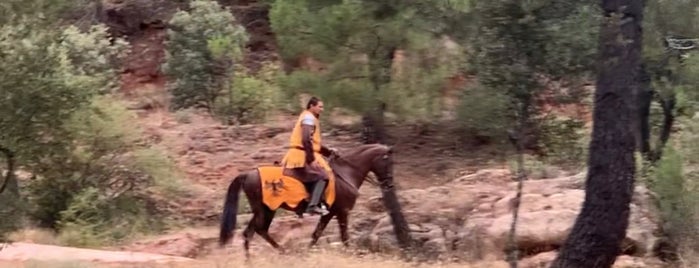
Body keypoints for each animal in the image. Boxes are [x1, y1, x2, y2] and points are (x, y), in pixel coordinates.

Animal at [219, 143, 394, 256]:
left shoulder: (330, 213)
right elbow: (344, 237)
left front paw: (308, 253)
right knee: (256, 231)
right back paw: (279, 253)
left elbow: (316, 235)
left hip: (266, 210)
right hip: (265, 209)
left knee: (253, 232)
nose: (389, 185)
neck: (346, 173)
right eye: (388, 162)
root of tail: (248, 174)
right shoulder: (342, 212)